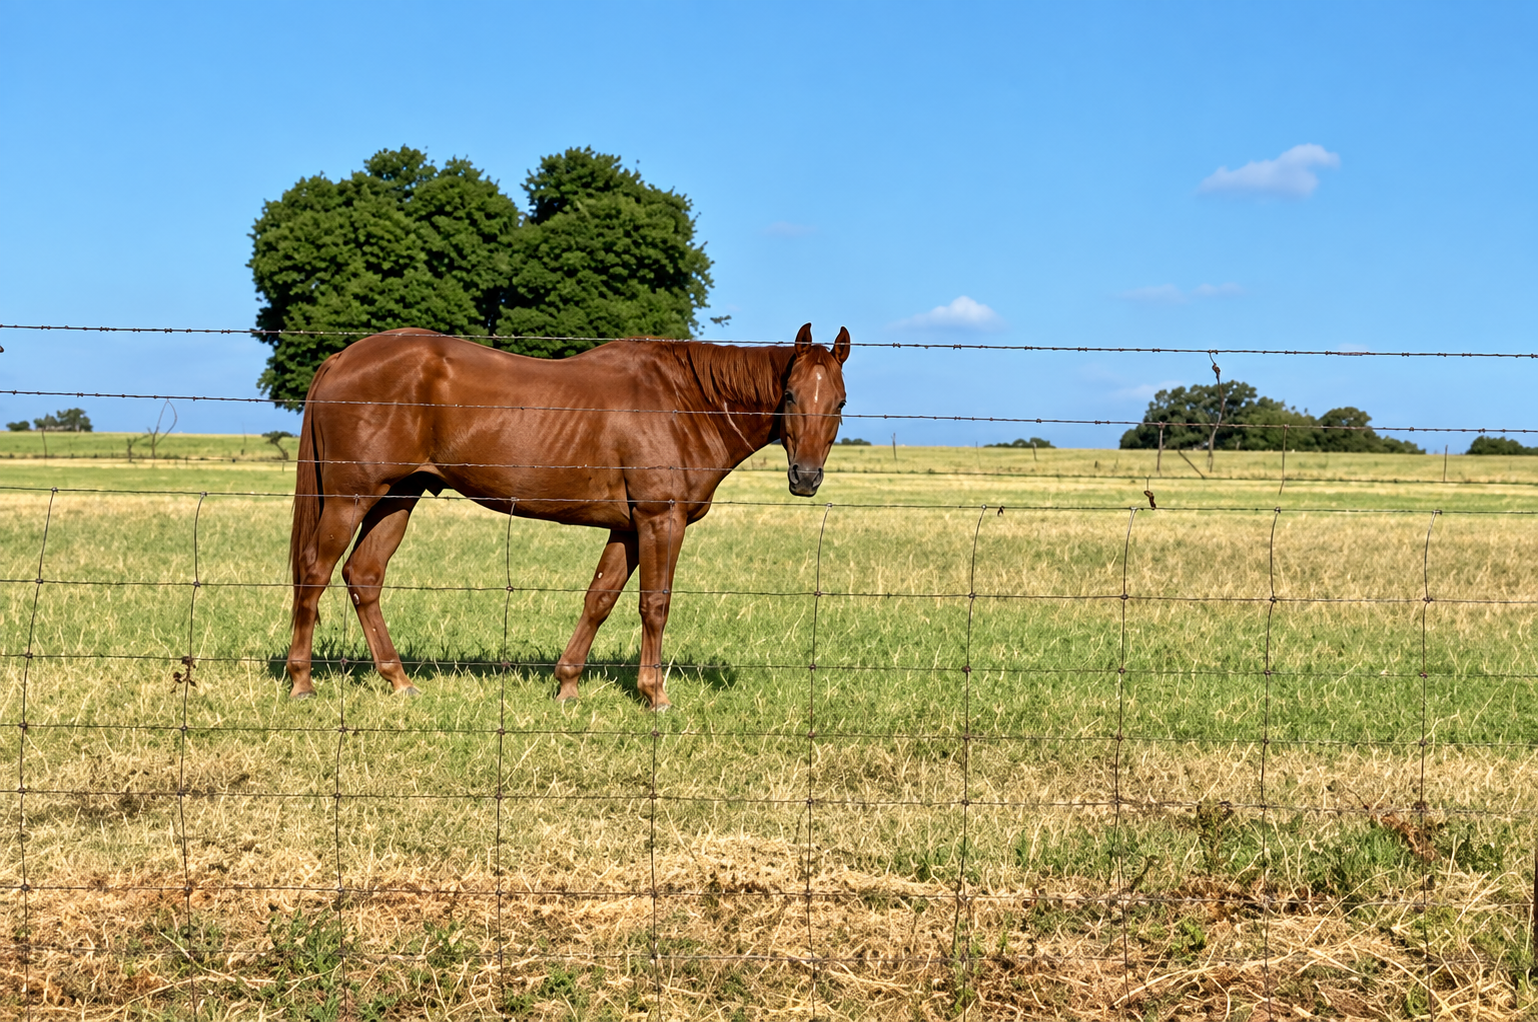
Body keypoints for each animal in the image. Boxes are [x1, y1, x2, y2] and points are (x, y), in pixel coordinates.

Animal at [284, 323, 851, 710]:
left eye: (841, 402)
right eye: (790, 394)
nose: (805, 477)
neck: (684, 404)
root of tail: (342, 357)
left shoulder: (627, 528)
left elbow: (599, 599)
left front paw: (568, 685)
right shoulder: (659, 520)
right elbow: (655, 605)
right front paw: (655, 694)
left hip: (399, 496)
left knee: (364, 576)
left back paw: (399, 681)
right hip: (350, 499)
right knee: (315, 575)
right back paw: (302, 681)